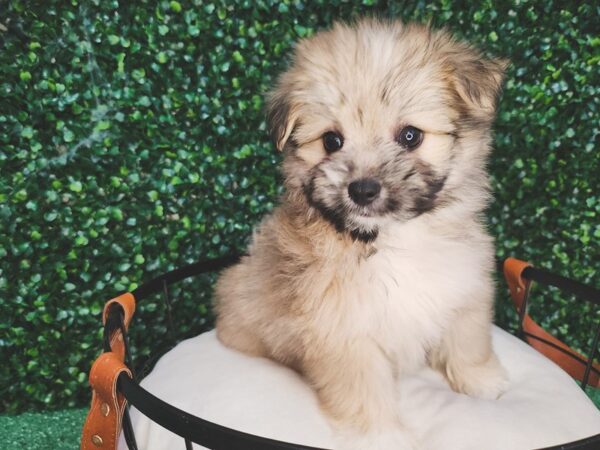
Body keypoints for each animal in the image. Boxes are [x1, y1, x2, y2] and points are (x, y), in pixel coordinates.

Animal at [213, 19, 508, 448]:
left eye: (410, 136)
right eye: (331, 141)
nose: (363, 189)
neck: (394, 238)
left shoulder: (463, 288)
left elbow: (468, 340)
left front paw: (480, 379)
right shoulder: (345, 332)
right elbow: (365, 393)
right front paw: (381, 436)